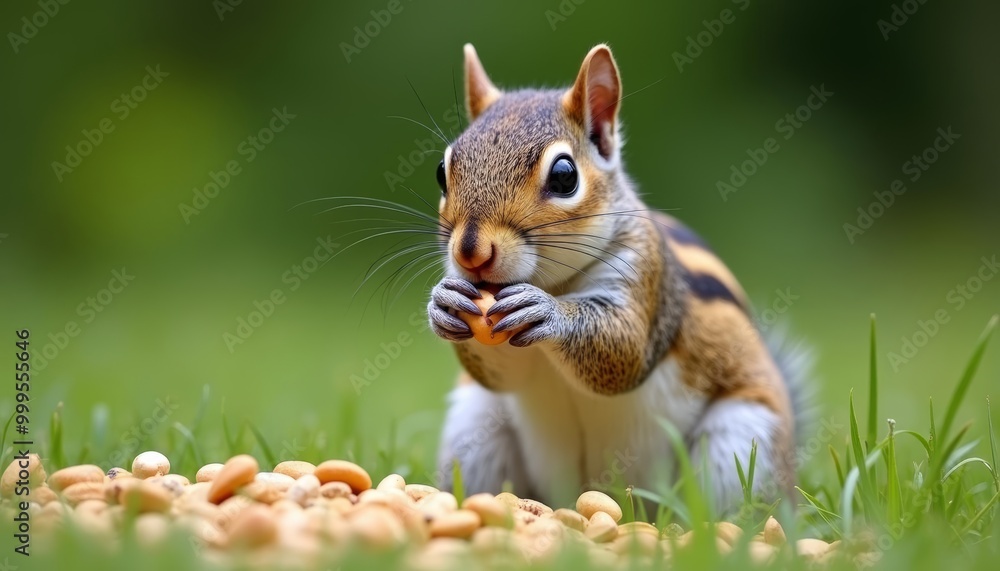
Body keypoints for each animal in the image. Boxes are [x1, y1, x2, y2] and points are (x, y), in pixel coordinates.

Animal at [427, 44, 810, 513]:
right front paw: (444, 303)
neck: (557, 282)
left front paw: (548, 313)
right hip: (473, 427)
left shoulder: (644, 277)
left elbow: (624, 347)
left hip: (741, 439)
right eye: (442, 171)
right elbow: (504, 375)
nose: (470, 254)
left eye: (564, 176)